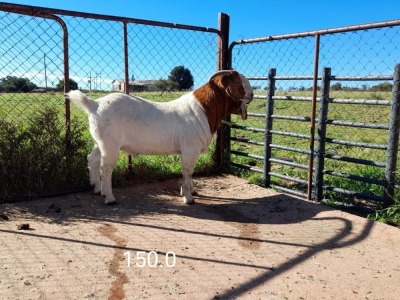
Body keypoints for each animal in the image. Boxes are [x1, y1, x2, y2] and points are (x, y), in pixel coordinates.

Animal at [65, 69, 253, 205]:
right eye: (239, 82)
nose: (251, 94)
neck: (204, 110)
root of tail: (94, 104)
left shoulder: (188, 152)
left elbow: (190, 172)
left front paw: (191, 191)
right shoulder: (189, 149)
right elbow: (187, 171)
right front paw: (188, 198)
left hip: (100, 142)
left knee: (93, 159)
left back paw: (98, 189)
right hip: (110, 144)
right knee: (106, 167)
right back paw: (109, 198)